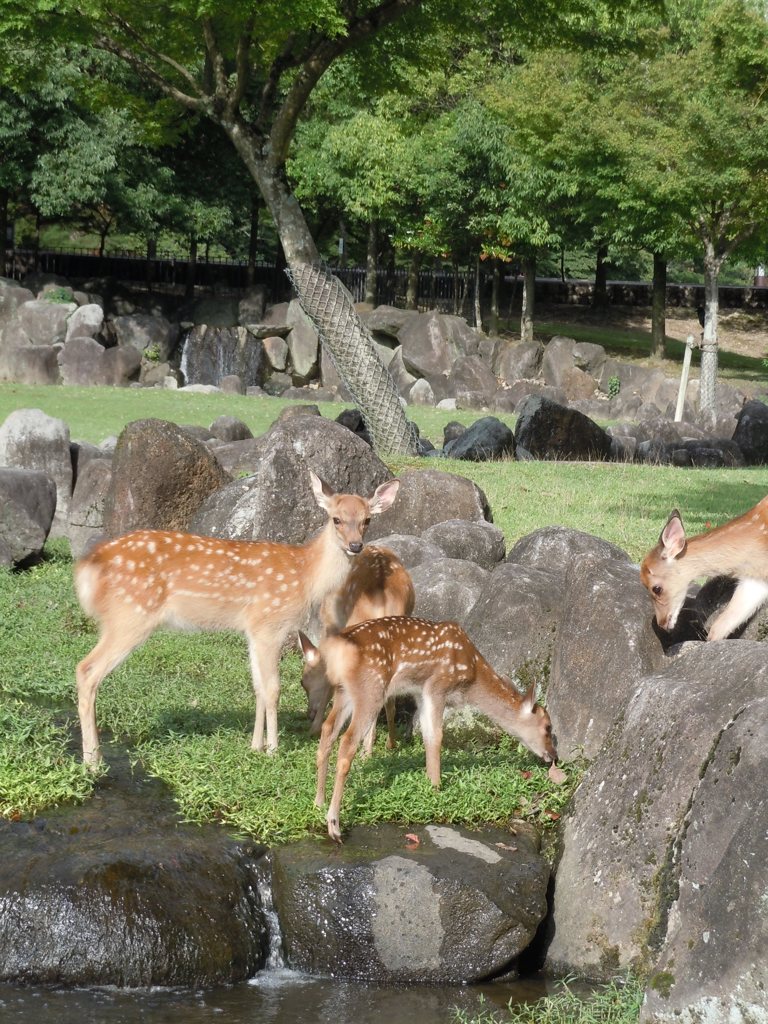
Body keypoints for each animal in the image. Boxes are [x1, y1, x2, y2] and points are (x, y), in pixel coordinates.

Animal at [74, 466, 399, 770]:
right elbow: (273, 688)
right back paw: (93, 760)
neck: (306, 576)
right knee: (86, 669)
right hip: (130, 614)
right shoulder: (270, 624)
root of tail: (88, 566)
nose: (355, 546)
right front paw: (273, 749)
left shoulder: (252, 630)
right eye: (336, 519)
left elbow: (258, 686)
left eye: (367, 520)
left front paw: (255, 746)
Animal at [301, 614, 561, 839]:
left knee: (328, 730)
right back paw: (334, 824)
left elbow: (427, 735)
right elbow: (437, 735)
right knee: (347, 741)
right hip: (370, 687)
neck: (472, 675)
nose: (553, 755)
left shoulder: (420, 692)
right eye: (548, 727)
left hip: (344, 691)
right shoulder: (438, 685)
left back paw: (318, 802)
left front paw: (428, 783)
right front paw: (437, 788)